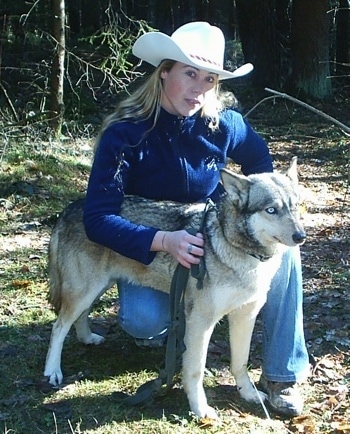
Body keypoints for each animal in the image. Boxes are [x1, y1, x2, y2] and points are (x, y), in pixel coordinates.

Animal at [44, 158, 306, 418]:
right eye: (271, 210)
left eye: (295, 207)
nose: (300, 236)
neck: (235, 245)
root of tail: (69, 209)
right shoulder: (201, 320)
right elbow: (195, 370)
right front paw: (201, 410)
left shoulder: (245, 314)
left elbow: (240, 363)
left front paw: (249, 394)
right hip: (85, 291)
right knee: (59, 326)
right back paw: (53, 371)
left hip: (95, 289)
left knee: (79, 317)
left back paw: (87, 338)